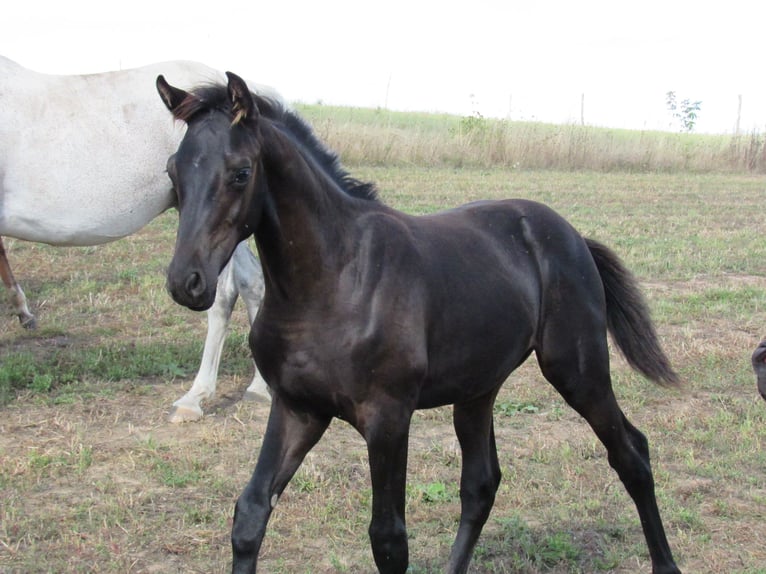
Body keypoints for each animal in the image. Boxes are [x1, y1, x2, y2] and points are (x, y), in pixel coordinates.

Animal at [156, 71, 682, 574]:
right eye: (171, 172)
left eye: (241, 173)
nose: (188, 282)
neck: (334, 278)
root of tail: (572, 237)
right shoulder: (297, 409)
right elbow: (250, 513)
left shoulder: (388, 418)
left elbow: (388, 540)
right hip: (477, 389)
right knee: (481, 484)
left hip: (578, 370)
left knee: (631, 453)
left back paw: (666, 562)